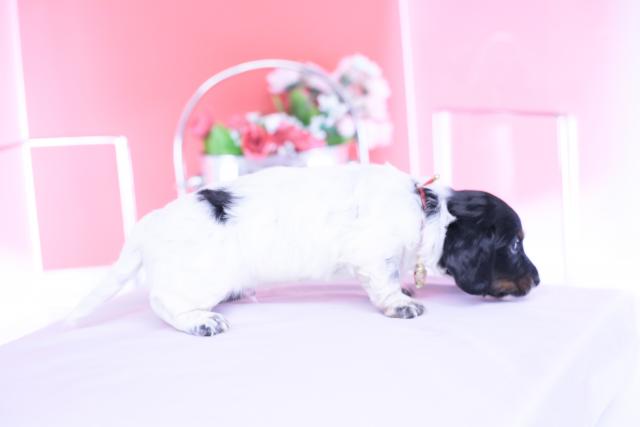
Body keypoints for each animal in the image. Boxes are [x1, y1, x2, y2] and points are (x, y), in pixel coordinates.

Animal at [69, 164, 539, 336]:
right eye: (515, 244)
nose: (537, 281)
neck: (427, 210)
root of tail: (148, 225)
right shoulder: (373, 256)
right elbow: (385, 284)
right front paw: (401, 304)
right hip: (198, 279)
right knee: (162, 302)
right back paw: (201, 321)